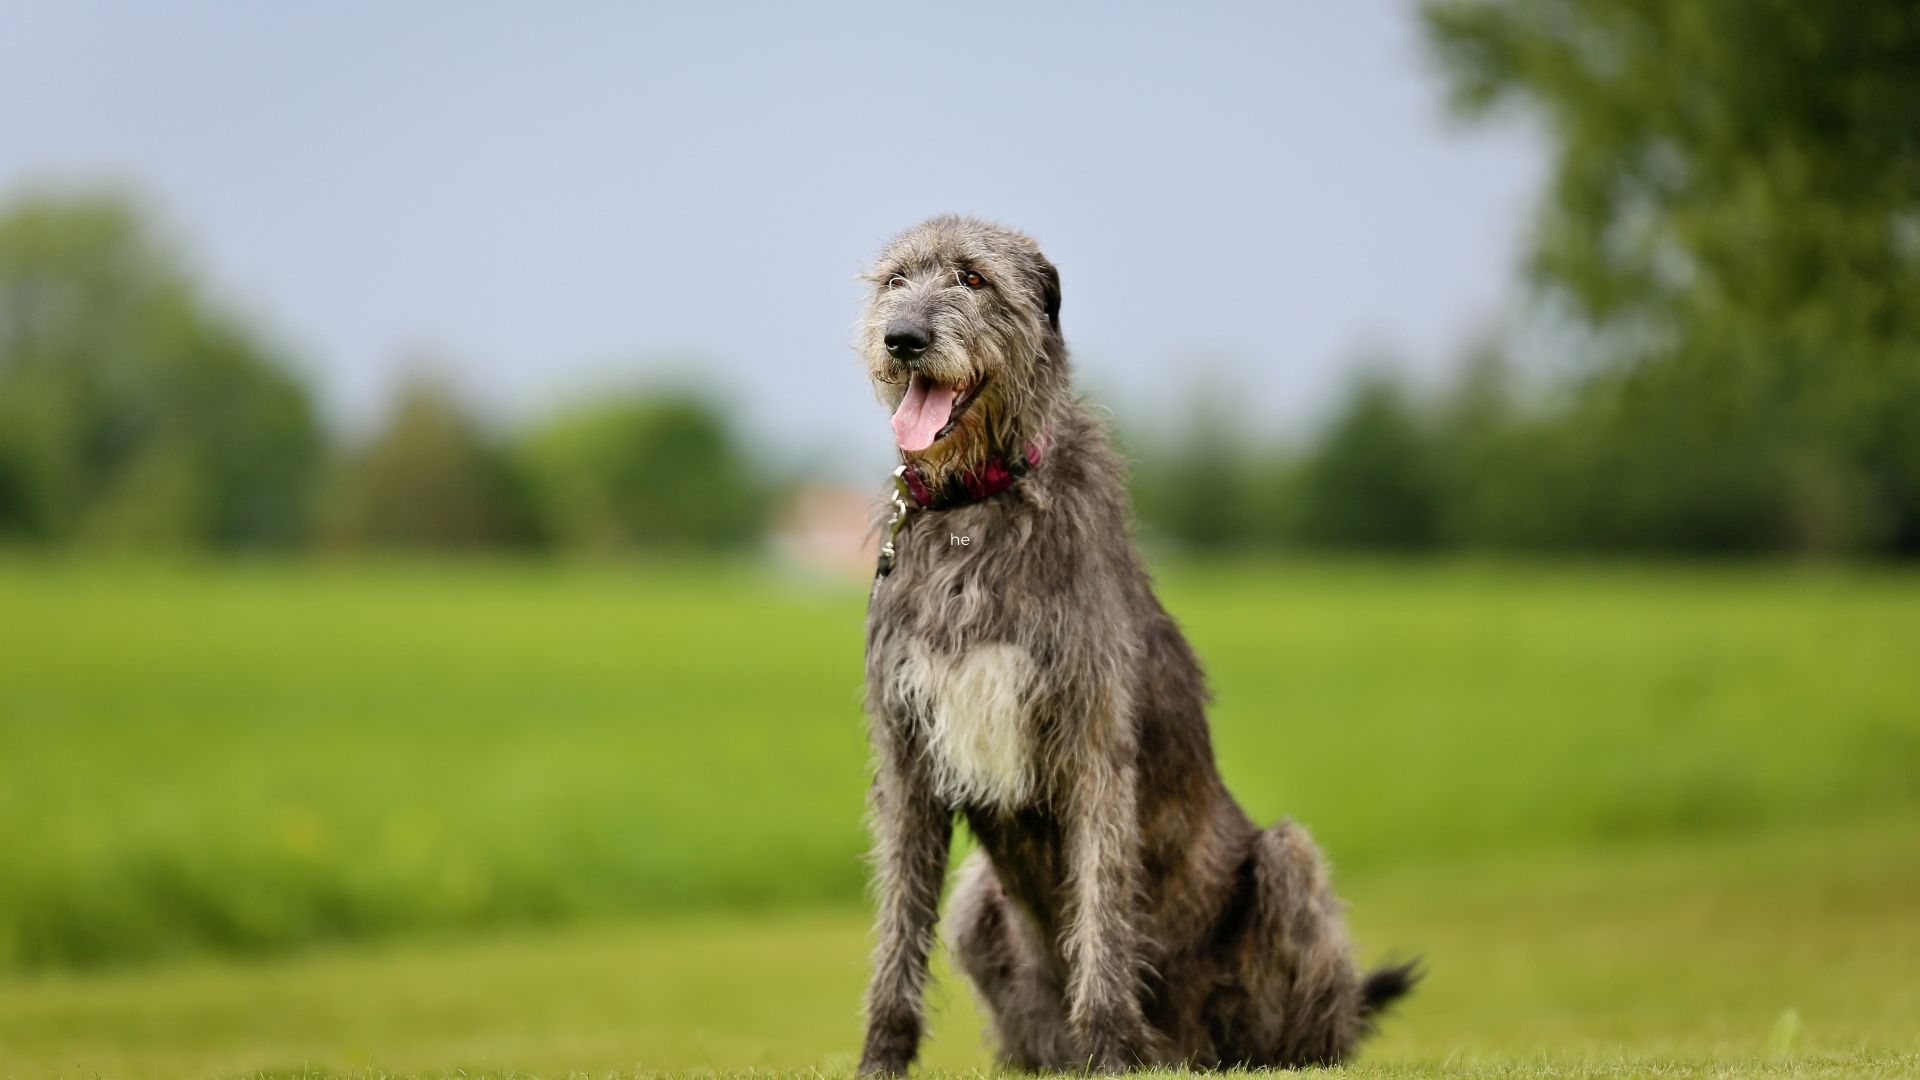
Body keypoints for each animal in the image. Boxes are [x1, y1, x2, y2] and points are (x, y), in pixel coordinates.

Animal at [856, 212, 1413, 1068]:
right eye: (894, 280)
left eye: (972, 278)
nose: (903, 337)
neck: (975, 506)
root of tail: (1191, 1049)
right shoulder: (907, 753)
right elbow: (897, 925)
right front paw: (880, 1057)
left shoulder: (1092, 742)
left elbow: (1102, 907)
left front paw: (1111, 1050)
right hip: (980, 904)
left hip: (1287, 865)